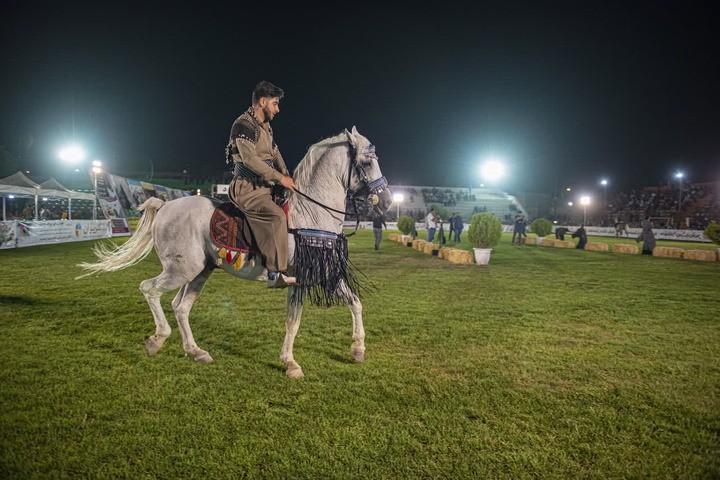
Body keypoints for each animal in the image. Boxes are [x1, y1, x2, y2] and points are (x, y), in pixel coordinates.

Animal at [79, 127, 390, 378]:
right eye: (367, 161)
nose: (386, 202)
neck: (312, 213)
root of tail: (165, 205)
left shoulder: (323, 273)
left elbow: (354, 303)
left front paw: (357, 349)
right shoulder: (303, 276)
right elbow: (294, 321)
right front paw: (291, 364)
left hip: (199, 271)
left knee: (180, 306)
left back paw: (196, 351)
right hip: (181, 269)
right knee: (149, 289)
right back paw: (157, 340)